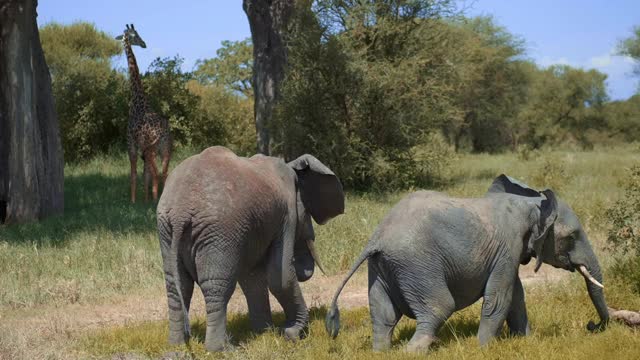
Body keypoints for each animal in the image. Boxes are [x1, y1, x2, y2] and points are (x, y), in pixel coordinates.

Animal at [115, 23, 170, 202]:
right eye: (135, 35)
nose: (144, 43)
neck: (138, 101)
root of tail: (162, 131)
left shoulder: (131, 143)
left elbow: (133, 173)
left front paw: (133, 201)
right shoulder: (142, 149)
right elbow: (144, 174)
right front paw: (144, 200)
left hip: (150, 149)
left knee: (156, 174)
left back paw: (157, 200)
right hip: (165, 149)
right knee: (163, 173)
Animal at [156, 146, 344, 352]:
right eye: (307, 213)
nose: (304, 268)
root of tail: (180, 213)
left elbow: (251, 278)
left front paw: (264, 333)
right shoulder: (286, 215)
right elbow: (281, 276)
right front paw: (292, 334)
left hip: (168, 231)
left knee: (177, 285)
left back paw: (177, 345)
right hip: (220, 229)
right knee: (216, 286)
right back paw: (222, 350)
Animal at [324, 174, 608, 352]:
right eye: (571, 237)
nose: (591, 325)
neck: (531, 204)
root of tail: (377, 237)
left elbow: (516, 296)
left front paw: (525, 341)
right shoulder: (508, 247)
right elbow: (500, 298)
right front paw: (483, 348)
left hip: (383, 267)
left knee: (383, 316)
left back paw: (381, 352)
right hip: (417, 265)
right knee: (439, 307)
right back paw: (411, 352)